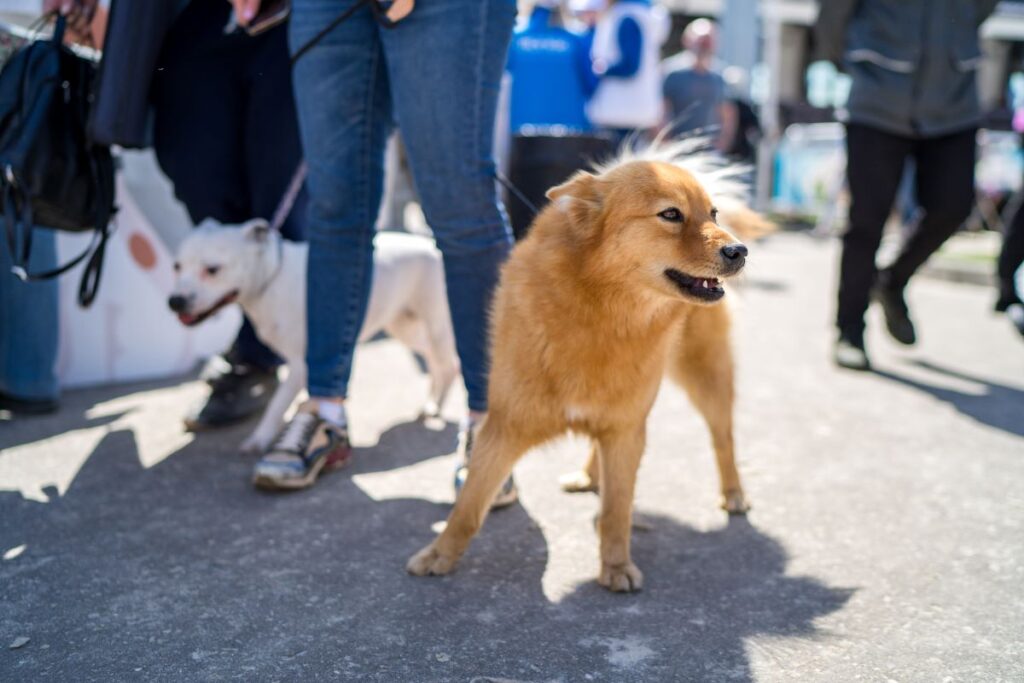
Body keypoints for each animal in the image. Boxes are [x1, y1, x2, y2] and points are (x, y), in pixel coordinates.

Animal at [169, 220, 458, 454]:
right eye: (177, 266)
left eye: (212, 269)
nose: (175, 301)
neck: (271, 279)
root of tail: (432, 244)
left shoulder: (301, 364)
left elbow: (277, 405)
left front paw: (260, 439)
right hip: (404, 327)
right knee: (436, 362)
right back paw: (432, 402)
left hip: (436, 326)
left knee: (449, 364)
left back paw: (437, 406)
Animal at [403, 152, 765, 589]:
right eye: (671, 214)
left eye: (712, 213)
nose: (739, 250)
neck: (600, 310)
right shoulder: (505, 426)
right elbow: (469, 507)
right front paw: (439, 554)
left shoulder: (626, 430)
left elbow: (617, 510)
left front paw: (616, 566)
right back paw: (590, 476)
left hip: (704, 376)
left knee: (722, 438)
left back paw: (733, 493)